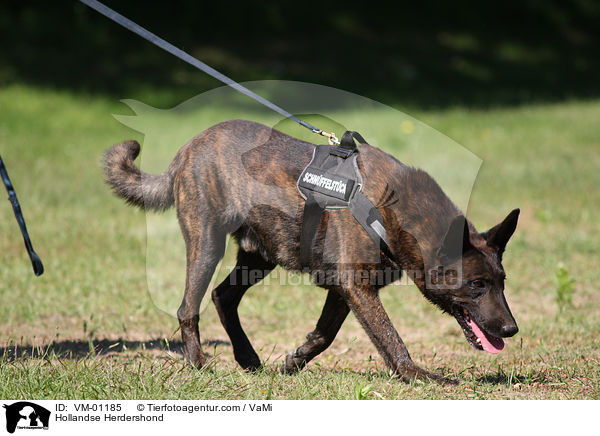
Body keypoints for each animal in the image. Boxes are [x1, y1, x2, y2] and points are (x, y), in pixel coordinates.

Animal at [105, 118, 516, 382]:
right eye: (477, 285)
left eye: (502, 282)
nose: (511, 330)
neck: (390, 210)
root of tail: (189, 147)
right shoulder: (357, 287)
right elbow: (390, 338)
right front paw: (418, 376)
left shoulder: (346, 290)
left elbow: (324, 334)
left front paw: (294, 362)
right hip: (207, 245)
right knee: (187, 309)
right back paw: (198, 364)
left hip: (259, 257)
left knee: (223, 297)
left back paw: (247, 358)